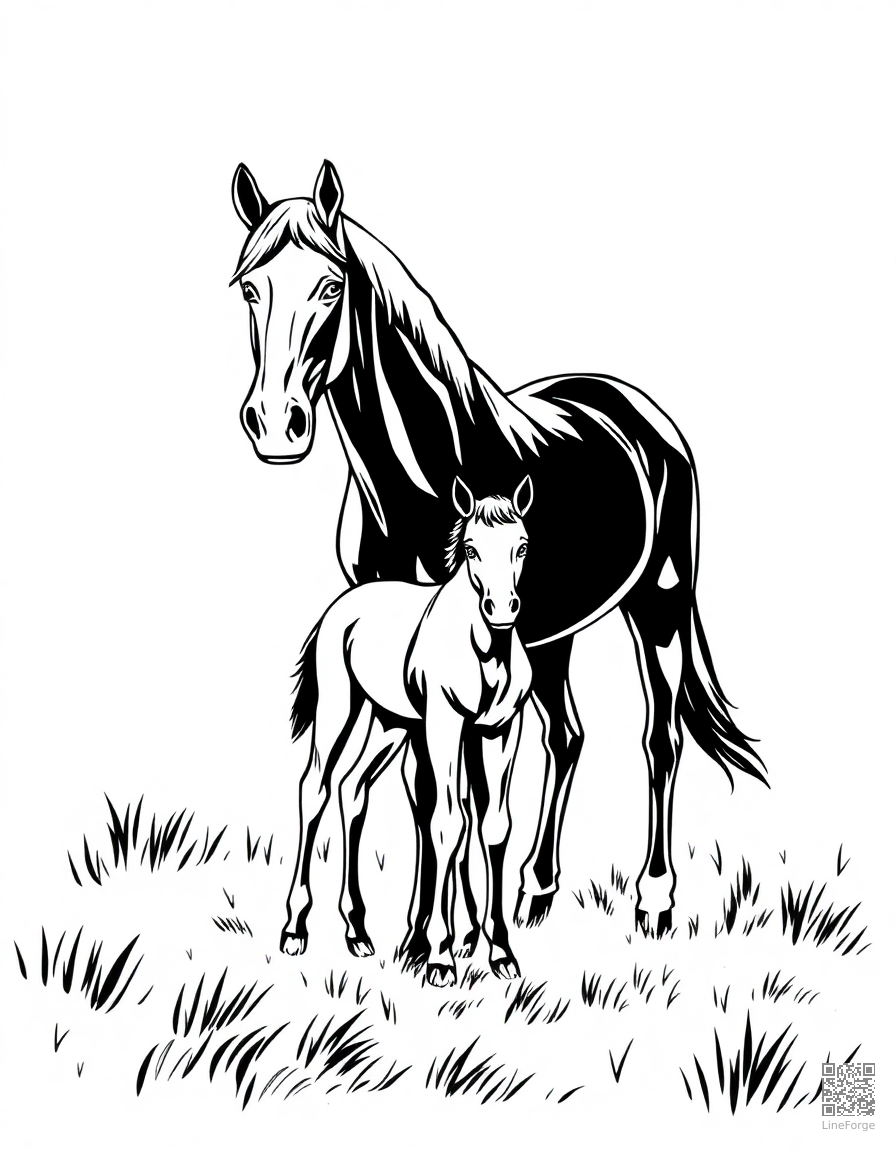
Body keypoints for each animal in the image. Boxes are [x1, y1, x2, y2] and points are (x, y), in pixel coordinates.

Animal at [283, 477, 534, 987]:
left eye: (521, 545)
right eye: (472, 549)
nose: (502, 609)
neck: (486, 650)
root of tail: (341, 606)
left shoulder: (500, 731)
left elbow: (495, 827)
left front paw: (500, 952)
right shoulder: (444, 724)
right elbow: (447, 821)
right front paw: (440, 956)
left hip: (388, 725)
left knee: (353, 790)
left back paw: (357, 931)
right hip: (341, 710)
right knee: (315, 788)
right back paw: (295, 929)